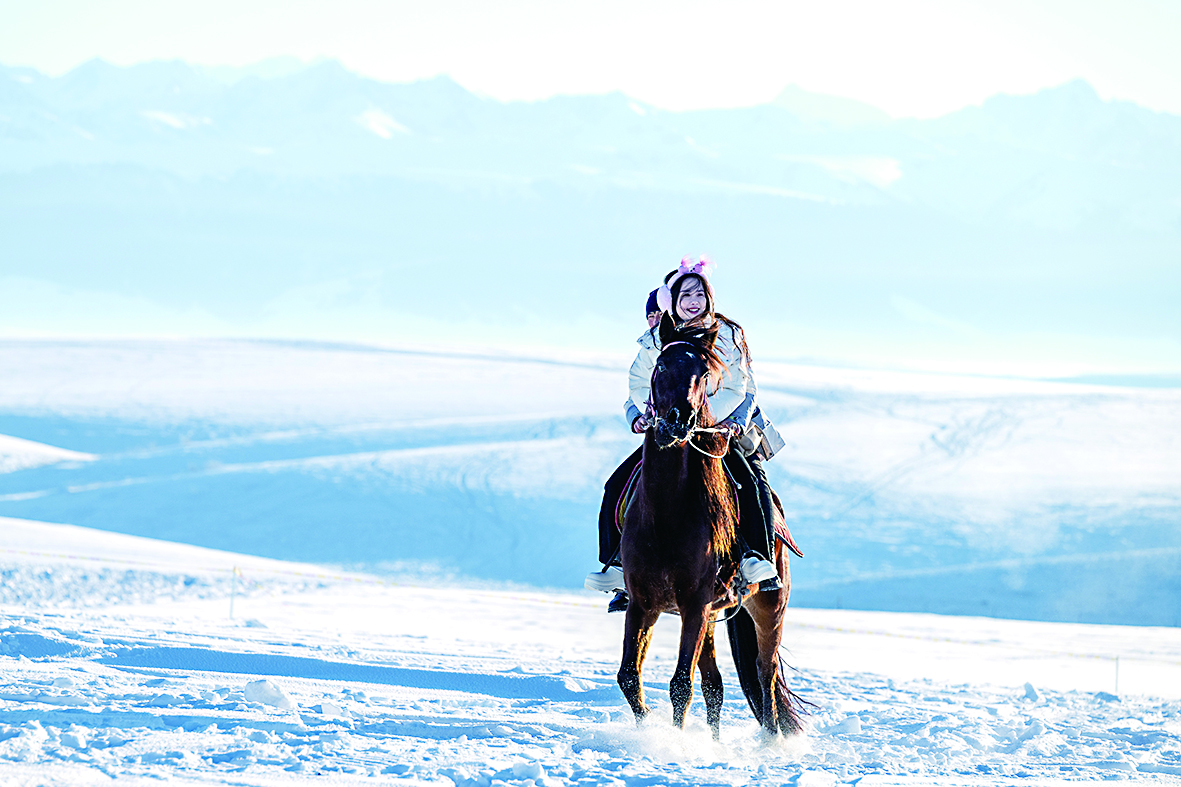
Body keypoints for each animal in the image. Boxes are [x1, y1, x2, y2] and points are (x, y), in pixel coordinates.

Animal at [614, 311, 807, 737]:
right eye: (661, 364)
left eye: (705, 372)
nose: (677, 420)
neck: (666, 513)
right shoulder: (643, 603)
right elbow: (630, 676)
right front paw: (648, 733)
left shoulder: (695, 604)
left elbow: (680, 685)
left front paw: (674, 743)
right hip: (712, 616)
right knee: (715, 683)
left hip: (767, 608)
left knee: (765, 674)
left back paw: (769, 740)